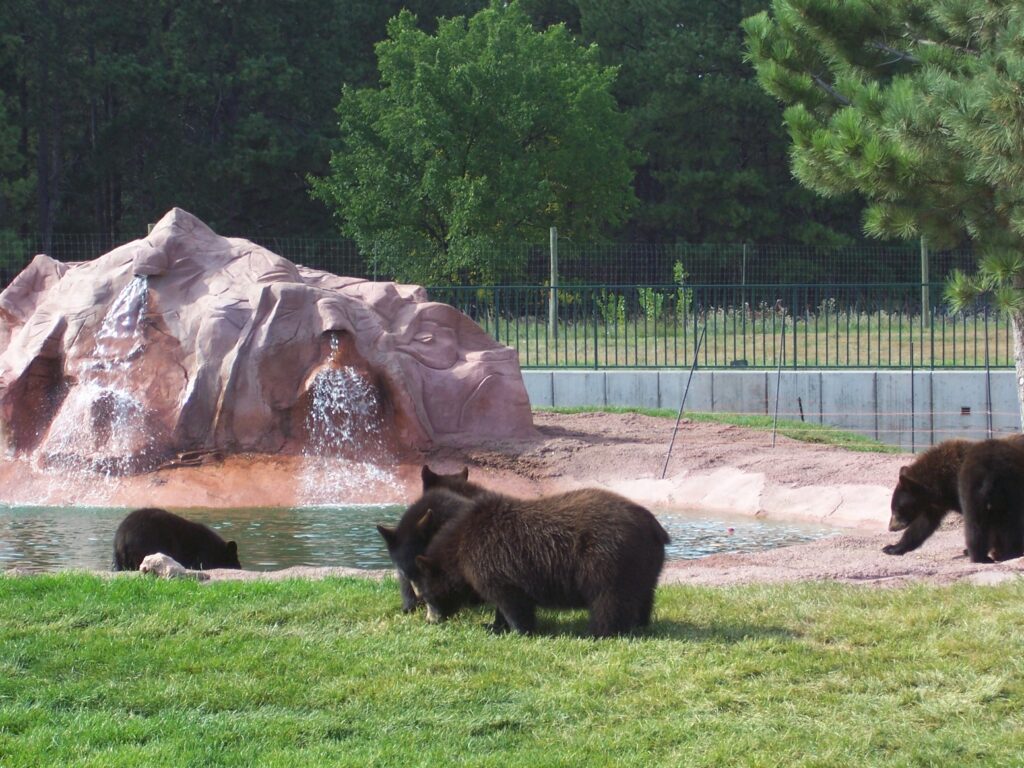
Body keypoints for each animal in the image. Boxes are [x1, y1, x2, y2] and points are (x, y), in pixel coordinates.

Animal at [412, 487, 671, 637]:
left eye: (425, 595)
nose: (430, 620)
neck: (459, 548)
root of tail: (655, 526)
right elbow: (502, 604)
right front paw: (494, 625)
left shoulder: (493, 564)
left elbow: (512, 603)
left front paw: (518, 630)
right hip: (644, 563)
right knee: (643, 594)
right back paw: (640, 622)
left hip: (608, 558)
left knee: (608, 598)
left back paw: (598, 632)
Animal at [884, 434, 1024, 556]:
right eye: (892, 507)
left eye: (897, 508)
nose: (891, 527)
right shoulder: (935, 506)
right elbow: (922, 525)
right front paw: (892, 548)